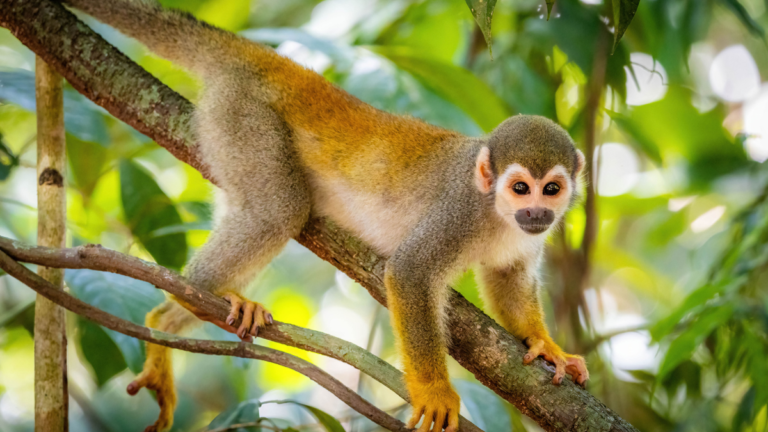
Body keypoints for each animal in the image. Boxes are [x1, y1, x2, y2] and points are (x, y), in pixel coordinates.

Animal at [61, 1, 590, 431]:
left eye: (551, 189)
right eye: (519, 188)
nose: (537, 211)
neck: (495, 212)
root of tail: (270, 61)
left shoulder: (526, 238)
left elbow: (507, 278)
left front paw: (546, 345)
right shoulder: (458, 210)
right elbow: (410, 272)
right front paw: (436, 392)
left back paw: (171, 319)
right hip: (243, 117)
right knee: (279, 211)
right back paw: (184, 303)